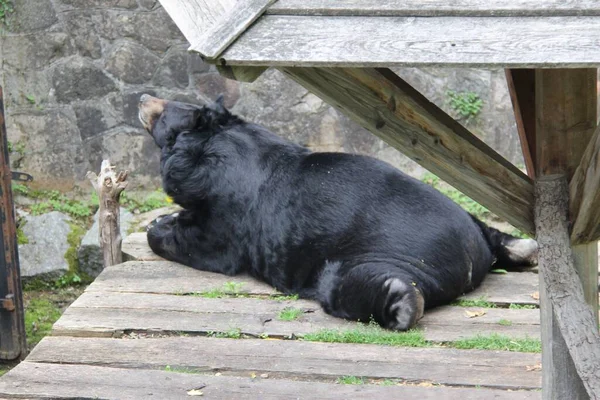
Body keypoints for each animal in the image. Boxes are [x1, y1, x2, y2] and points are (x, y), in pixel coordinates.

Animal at [138, 94, 536, 332]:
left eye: (165, 108)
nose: (142, 98)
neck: (211, 143)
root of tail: (471, 255)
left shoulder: (228, 206)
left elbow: (207, 243)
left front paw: (160, 226)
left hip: (380, 254)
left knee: (355, 283)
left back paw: (403, 303)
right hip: (471, 226)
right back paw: (523, 248)